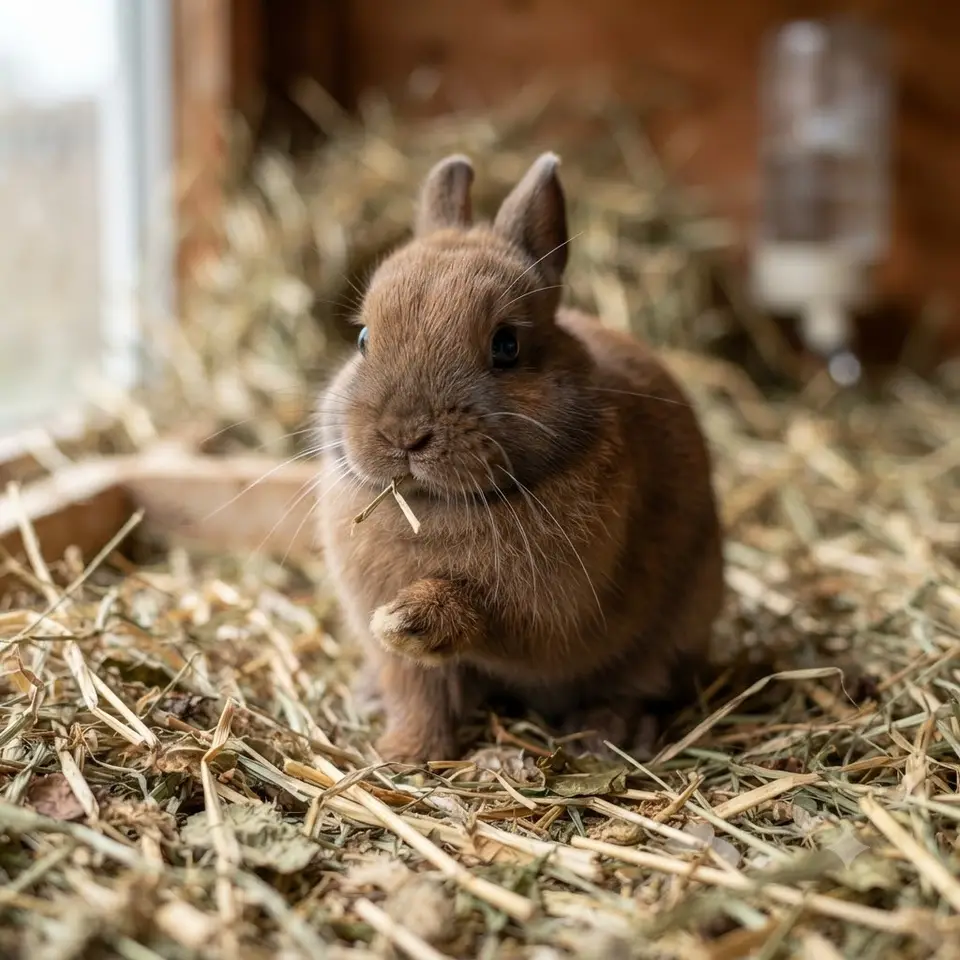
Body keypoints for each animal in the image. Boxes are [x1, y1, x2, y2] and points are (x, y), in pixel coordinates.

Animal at [315, 151, 725, 763]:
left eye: (506, 346)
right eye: (364, 339)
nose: (404, 435)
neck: (435, 505)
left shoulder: (547, 610)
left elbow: (492, 621)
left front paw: (406, 620)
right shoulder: (409, 669)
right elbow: (418, 697)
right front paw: (402, 754)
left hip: (671, 634)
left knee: (637, 687)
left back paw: (605, 736)